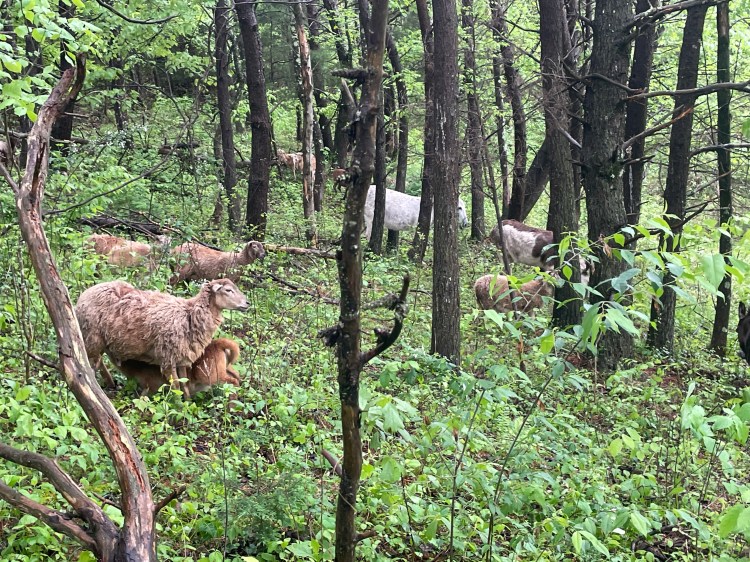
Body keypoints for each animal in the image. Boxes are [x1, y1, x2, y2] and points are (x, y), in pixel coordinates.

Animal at [75, 278, 249, 398]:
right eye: (228, 290)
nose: (247, 303)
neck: (189, 314)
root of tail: (84, 294)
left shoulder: (182, 357)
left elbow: (185, 385)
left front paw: (187, 404)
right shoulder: (168, 358)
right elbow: (176, 386)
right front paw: (178, 406)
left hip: (100, 341)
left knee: (99, 362)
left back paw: (111, 384)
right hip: (92, 337)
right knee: (91, 363)